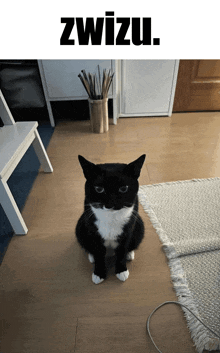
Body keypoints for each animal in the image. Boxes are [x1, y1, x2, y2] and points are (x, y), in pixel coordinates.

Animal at [75, 154, 146, 284]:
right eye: (99, 189)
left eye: (123, 188)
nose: (110, 204)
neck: (111, 217)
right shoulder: (93, 232)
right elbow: (98, 252)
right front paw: (99, 273)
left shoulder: (128, 231)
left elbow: (122, 251)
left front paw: (121, 270)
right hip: (80, 226)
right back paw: (91, 256)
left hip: (139, 226)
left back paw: (130, 254)